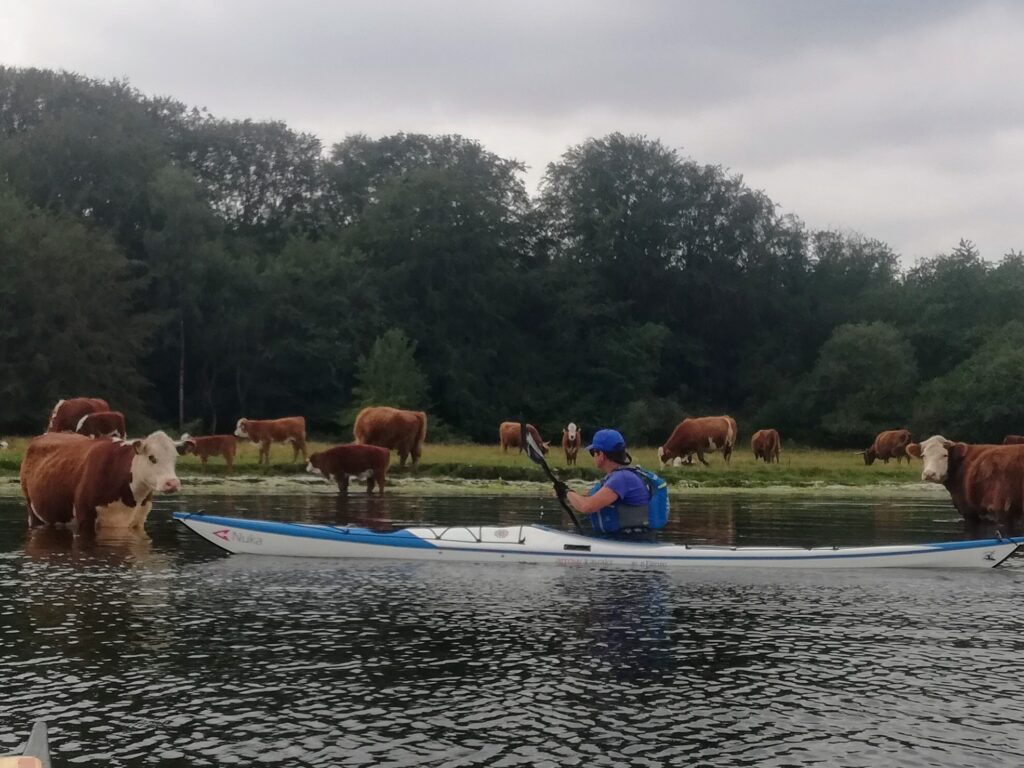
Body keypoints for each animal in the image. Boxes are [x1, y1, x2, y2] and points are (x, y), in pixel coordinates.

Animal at [19, 434, 187, 536]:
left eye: (175, 458)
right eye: (152, 457)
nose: (172, 483)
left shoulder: (138, 521)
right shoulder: (84, 518)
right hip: (32, 510)